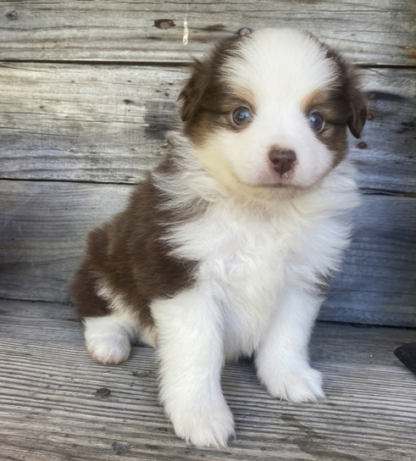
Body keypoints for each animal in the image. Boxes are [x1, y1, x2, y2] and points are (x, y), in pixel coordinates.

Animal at [69, 28, 368, 446]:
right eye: (240, 115)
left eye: (316, 120)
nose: (283, 157)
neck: (260, 213)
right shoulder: (182, 273)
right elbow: (198, 348)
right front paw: (200, 414)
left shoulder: (304, 275)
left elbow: (289, 333)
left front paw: (288, 375)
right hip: (105, 252)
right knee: (99, 304)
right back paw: (108, 343)